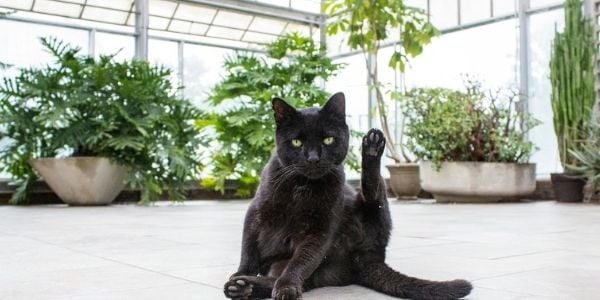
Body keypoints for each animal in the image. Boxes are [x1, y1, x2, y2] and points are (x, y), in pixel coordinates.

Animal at [223, 92, 472, 298]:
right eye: (296, 141)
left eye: (328, 140)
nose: (313, 158)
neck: (301, 188)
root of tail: (369, 255)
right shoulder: (255, 213)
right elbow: (248, 250)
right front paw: (239, 275)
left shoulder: (320, 230)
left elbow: (301, 262)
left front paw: (287, 287)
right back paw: (242, 286)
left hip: (368, 208)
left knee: (373, 194)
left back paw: (372, 148)